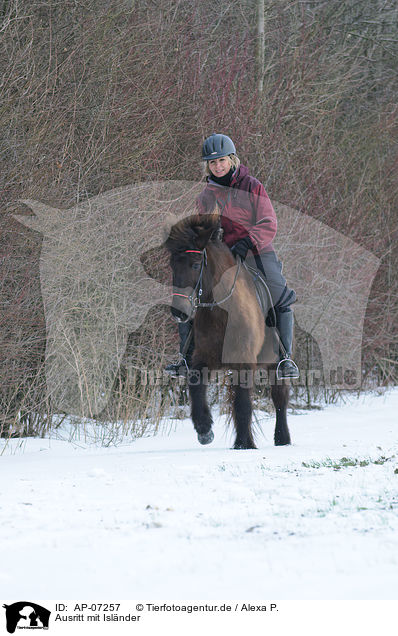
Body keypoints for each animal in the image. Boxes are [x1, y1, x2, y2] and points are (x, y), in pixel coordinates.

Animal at [163, 211, 290, 450]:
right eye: (172, 265)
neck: (222, 312)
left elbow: (243, 404)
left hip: (275, 364)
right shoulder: (202, 358)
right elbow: (196, 386)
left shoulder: (244, 361)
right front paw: (204, 429)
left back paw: (282, 438)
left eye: (196, 265)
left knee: (280, 398)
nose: (178, 312)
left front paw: (243, 444)